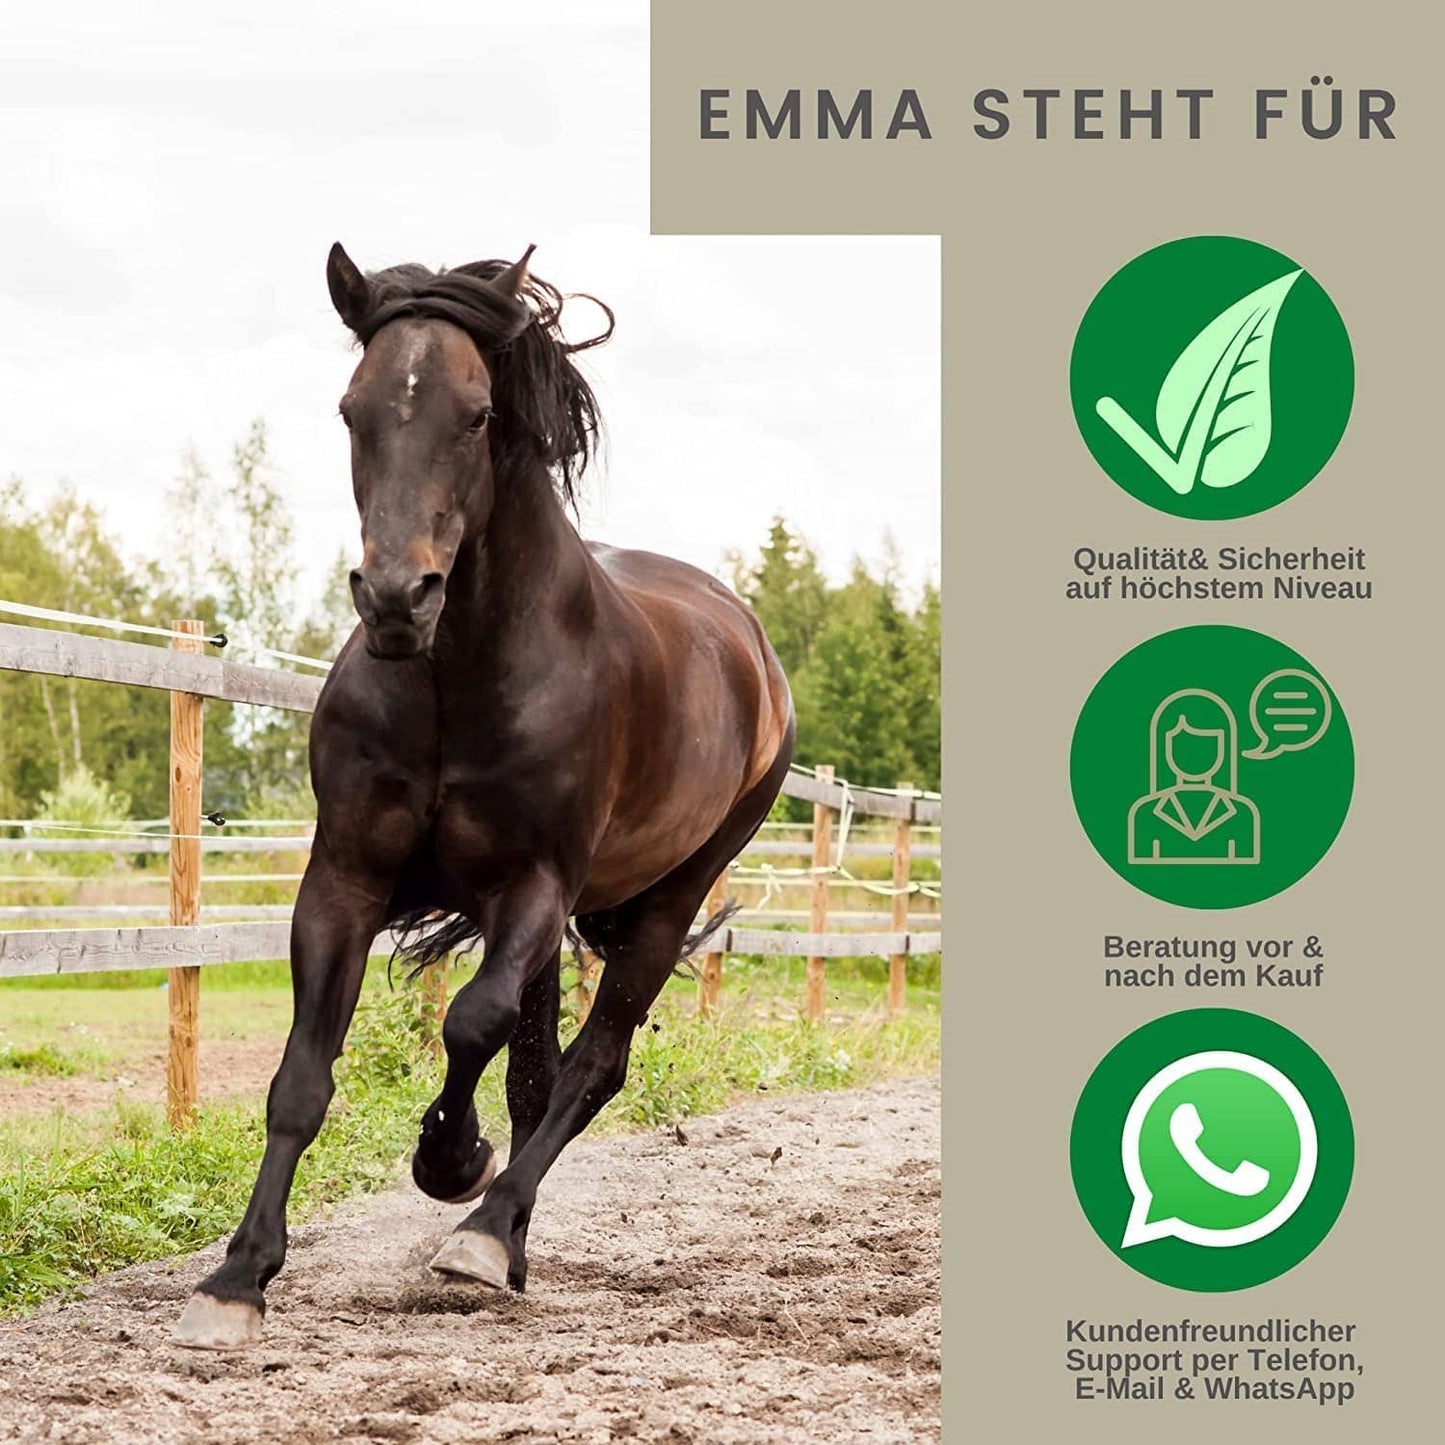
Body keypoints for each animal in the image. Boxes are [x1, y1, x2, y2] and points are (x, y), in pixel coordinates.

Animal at [170, 243, 794, 1349]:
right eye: (352, 410)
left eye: (474, 415)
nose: (394, 597)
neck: (461, 676)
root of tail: (751, 647)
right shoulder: (344, 877)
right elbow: (302, 1076)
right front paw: (237, 1277)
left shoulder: (534, 884)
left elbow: (469, 1022)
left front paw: (448, 1161)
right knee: (537, 1072)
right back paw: (511, 1242)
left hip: (671, 895)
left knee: (591, 1064)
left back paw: (483, 1230)